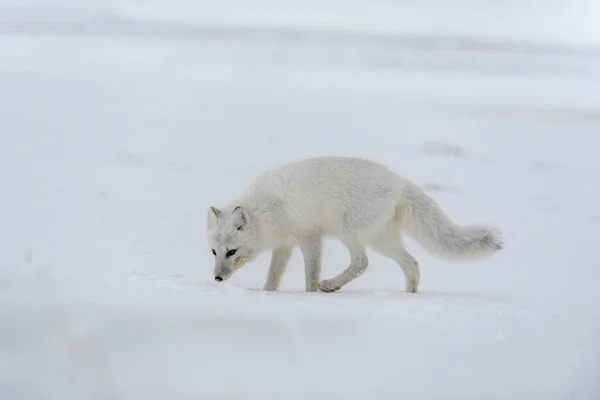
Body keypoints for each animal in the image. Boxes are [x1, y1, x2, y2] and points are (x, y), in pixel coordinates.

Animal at [206, 157, 502, 294]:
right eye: (214, 252)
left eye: (231, 251)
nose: (217, 278)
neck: (264, 211)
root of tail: (398, 181)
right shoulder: (284, 245)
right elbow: (272, 277)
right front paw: (267, 295)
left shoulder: (309, 237)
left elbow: (310, 275)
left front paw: (309, 295)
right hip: (382, 239)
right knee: (412, 264)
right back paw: (409, 297)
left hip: (348, 231)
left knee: (362, 262)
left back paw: (330, 285)